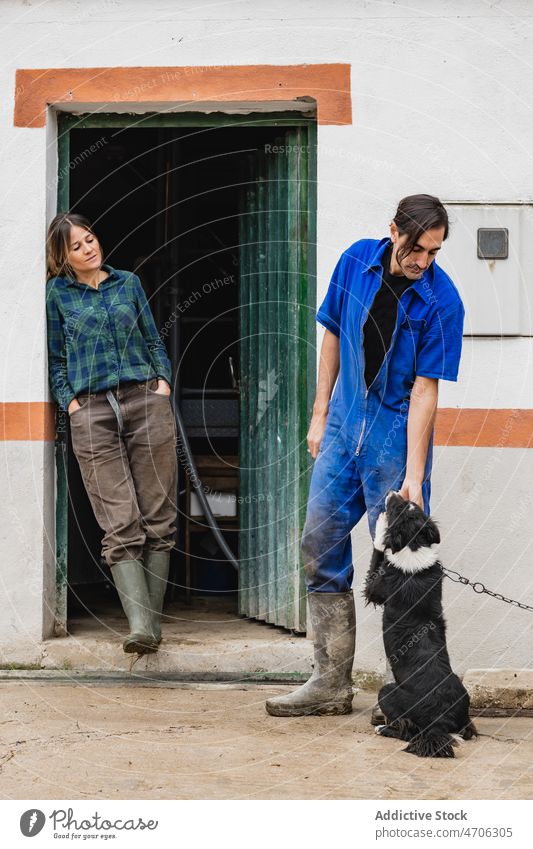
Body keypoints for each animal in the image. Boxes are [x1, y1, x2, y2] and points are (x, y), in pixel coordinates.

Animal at [364, 494, 476, 760]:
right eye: (410, 505)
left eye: (397, 508)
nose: (393, 492)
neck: (413, 545)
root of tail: (440, 722)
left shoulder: (376, 589)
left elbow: (378, 551)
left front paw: (381, 524)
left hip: (388, 691)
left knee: (406, 730)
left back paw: (383, 728)